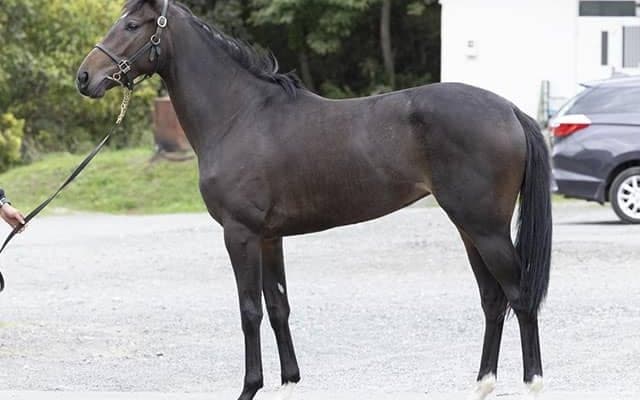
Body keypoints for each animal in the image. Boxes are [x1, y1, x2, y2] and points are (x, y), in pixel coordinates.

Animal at [77, 1, 552, 399]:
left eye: (132, 25)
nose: (84, 77)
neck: (240, 116)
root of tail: (510, 110)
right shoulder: (270, 237)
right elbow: (278, 306)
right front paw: (289, 383)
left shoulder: (240, 234)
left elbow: (249, 310)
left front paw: (249, 388)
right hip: (469, 228)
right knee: (493, 300)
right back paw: (483, 385)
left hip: (486, 229)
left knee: (520, 298)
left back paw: (532, 384)